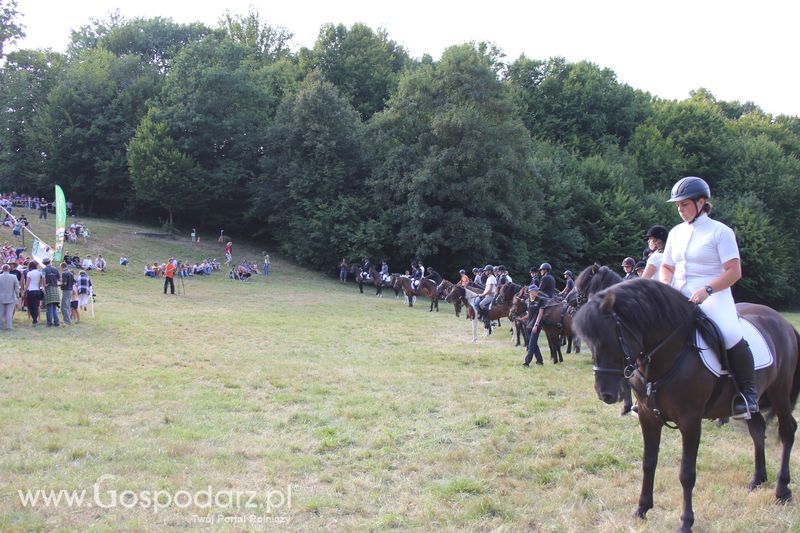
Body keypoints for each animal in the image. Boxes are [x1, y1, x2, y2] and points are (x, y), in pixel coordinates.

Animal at [572, 278, 796, 532]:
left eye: (610, 339)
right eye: (590, 342)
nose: (605, 394)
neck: (667, 355)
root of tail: (783, 322)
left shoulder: (690, 422)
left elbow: (686, 473)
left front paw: (686, 521)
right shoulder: (648, 417)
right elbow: (648, 463)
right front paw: (642, 509)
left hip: (780, 393)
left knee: (787, 432)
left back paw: (782, 490)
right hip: (753, 402)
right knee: (758, 431)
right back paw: (757, 480)